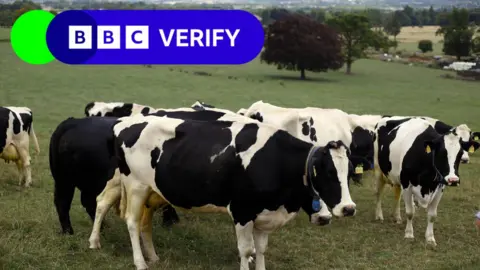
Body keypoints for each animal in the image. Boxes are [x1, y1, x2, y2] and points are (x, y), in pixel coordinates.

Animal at [113, 115, 356, 270]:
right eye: (327, 173)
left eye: (348, 173)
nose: (348, 208)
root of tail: (126, 124)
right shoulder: (242, 210)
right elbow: (247, 250)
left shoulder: (264, 214)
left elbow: (261, 249)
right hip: (136, 186)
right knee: (133, 222)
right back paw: (140, 262)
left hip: (153, 191)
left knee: (145, 223)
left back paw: (153, 257)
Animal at [376, 117, 480, 246]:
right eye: (441, 153)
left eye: (460, 154)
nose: (453, 180)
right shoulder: (406, 184)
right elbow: (410, 212)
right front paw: (409, 234)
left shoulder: (440, 188)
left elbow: (432, 215)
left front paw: (430, 238)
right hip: (379, 171)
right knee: (379, 193)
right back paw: (379, 215)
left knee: (397, 194)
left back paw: (397, 217)